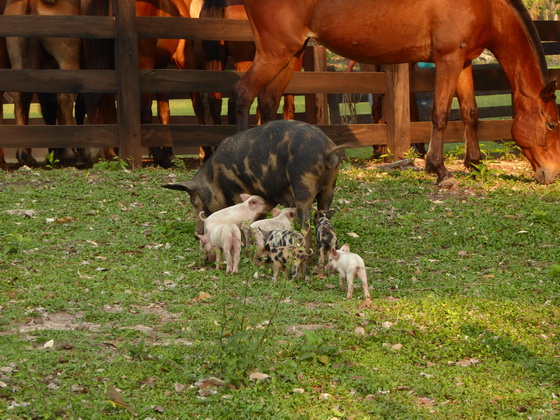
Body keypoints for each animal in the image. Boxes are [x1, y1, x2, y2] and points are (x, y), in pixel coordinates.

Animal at [234, 0, 560, 185]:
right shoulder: (448, 60)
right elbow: (441, 114)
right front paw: (438, 169)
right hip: (275, 54)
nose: (553, 173)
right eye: (552, 125)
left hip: (291, 55)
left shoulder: (464, 60)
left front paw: (474, 164)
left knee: (268, 101)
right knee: (243, 94)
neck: (487, 8)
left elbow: (470, 113)